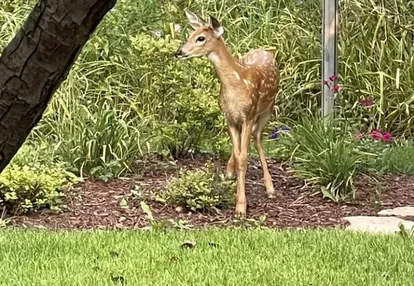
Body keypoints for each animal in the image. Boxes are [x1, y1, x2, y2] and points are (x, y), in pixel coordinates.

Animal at [173, 10, 280, 216]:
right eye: (190, 34)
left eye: (201, 38)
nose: (179, 52)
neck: (237, 84)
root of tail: (264, 50)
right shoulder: (229, 117)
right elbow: (239, 156)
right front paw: (233, 182)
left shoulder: (248, 115)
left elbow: (244, 158)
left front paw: (241, 207)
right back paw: (230, 172)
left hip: (267, 109)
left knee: (258, 136)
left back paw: (270, 187)